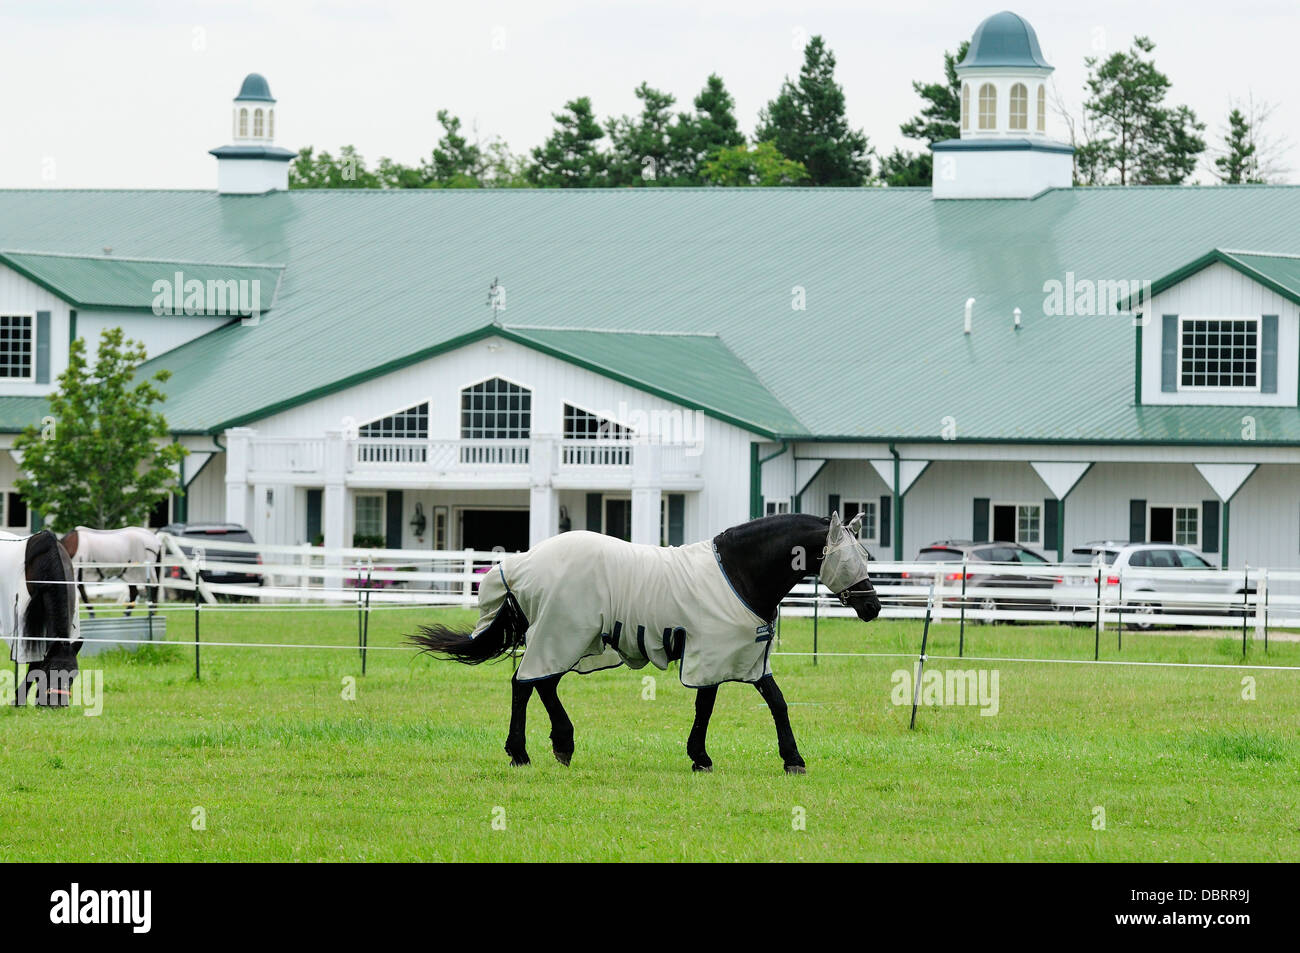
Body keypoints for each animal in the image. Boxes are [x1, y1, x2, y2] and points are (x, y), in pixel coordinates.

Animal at [409, 512, 881, 774]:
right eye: (849, 558)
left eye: (866, 556)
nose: (873, 607)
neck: (739, 573)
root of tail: (522, 562)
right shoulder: (710, 654)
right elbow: (711, 706)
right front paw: (703, 757)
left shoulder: (741, 658)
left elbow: (774, 702)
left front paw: (790, 758)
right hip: (561, 634)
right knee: (527, 683)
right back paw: (526, 752)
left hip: (567, 637)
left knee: (540, 684)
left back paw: (558, 746)